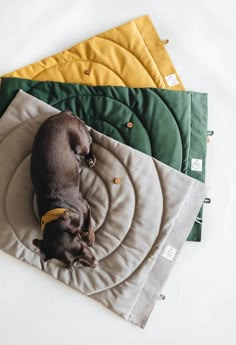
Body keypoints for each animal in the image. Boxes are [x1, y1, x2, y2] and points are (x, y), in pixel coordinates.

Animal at [30, 109, 97, 268]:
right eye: (74, 264)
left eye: (82, 247)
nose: (95, 264)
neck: (55, 208)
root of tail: (63, 113)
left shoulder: (85, 205)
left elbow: (89, 223)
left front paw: (90, 237)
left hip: (81, 144)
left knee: (90, 139)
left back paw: (90, 158)